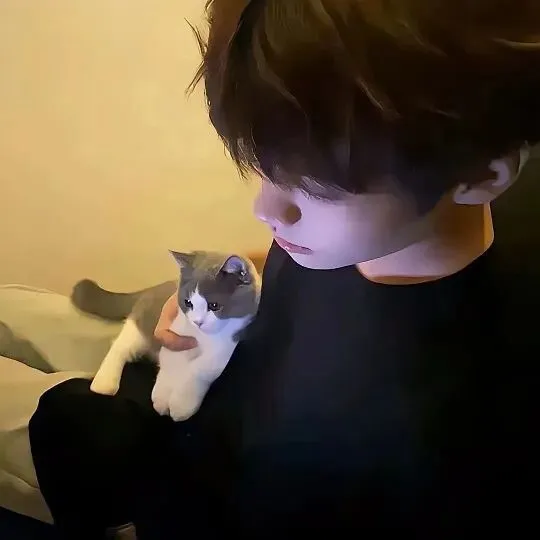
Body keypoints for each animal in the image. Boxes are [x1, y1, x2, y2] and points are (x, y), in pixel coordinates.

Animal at [71, 250, 261, 421]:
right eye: (188, 303)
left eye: (214, 305)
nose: (197, 322)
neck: (202, 337)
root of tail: (154, 288)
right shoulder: (173, 333)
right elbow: (171, 363)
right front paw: (162, 398)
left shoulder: (228, 347)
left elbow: (199, 370)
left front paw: (181, 405)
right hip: (144, 321)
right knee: (121, 345)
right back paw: (104, 383)